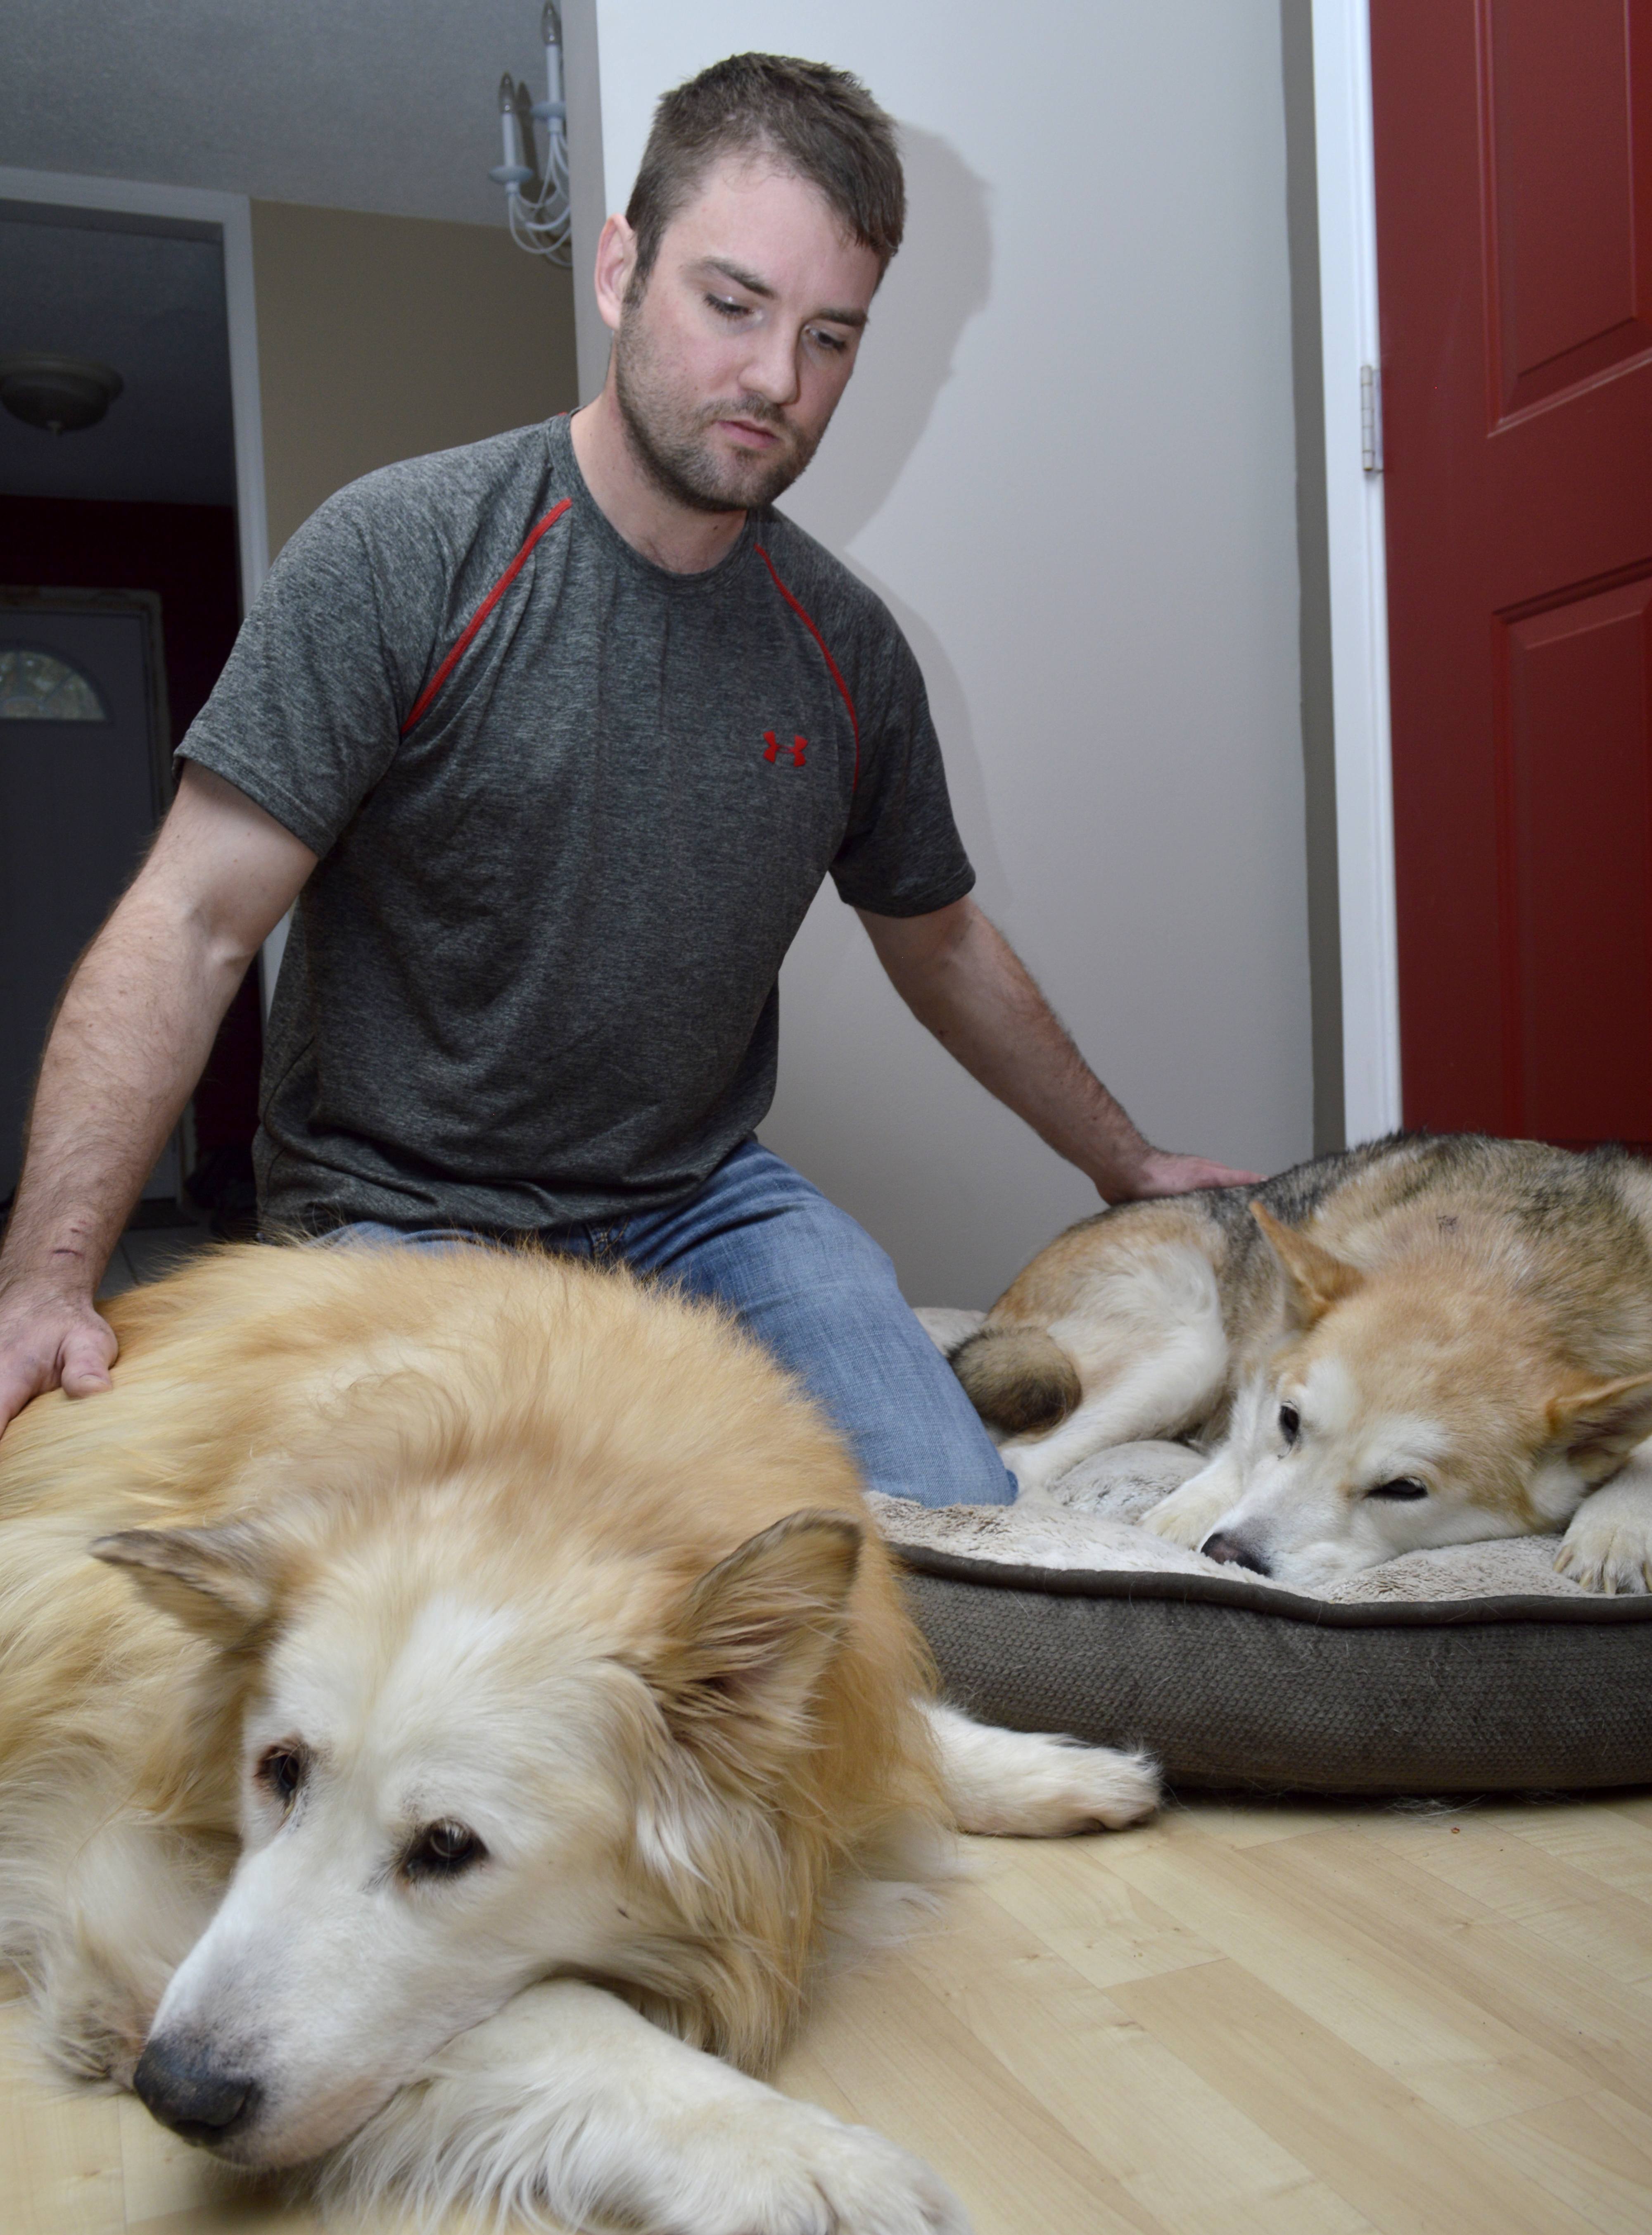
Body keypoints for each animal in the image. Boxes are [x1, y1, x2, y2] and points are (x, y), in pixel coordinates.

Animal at [0, 1251, 1153, 2235]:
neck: (551, 1462)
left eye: (448, 1846)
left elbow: (904, 1738)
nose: (172, 2088)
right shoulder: (125, 1859)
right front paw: (802, 2155)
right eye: (276, 1771)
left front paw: (1058, 1767)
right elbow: (562, 2013)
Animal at [947, 1135, 1652, 1591]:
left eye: (1405, 1489)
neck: (1506, 1262)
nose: (1226, 1555)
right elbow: (1238, 1451)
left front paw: (1616, 1525)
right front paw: (1178, 1520)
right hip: (1190, 1351)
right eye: (1289, 1421)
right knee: (1019, 1463)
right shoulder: (1262, 1367)